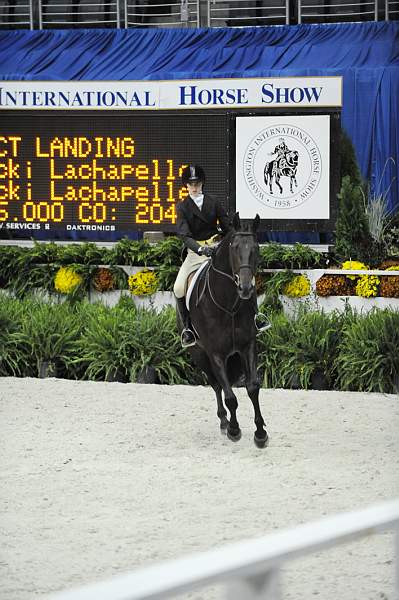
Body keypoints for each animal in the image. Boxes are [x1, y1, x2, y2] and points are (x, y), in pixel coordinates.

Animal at [180, 213, 268, 448]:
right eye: (234, 248)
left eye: (256, 248)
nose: (245, 288)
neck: (228, 304)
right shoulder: (215, 353)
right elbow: (230, 397)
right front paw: (234, 430)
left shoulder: (247, 346)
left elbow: (252, 388)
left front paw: (260, 433)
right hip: (200, 355)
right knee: (216, 386)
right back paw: (224, 422)